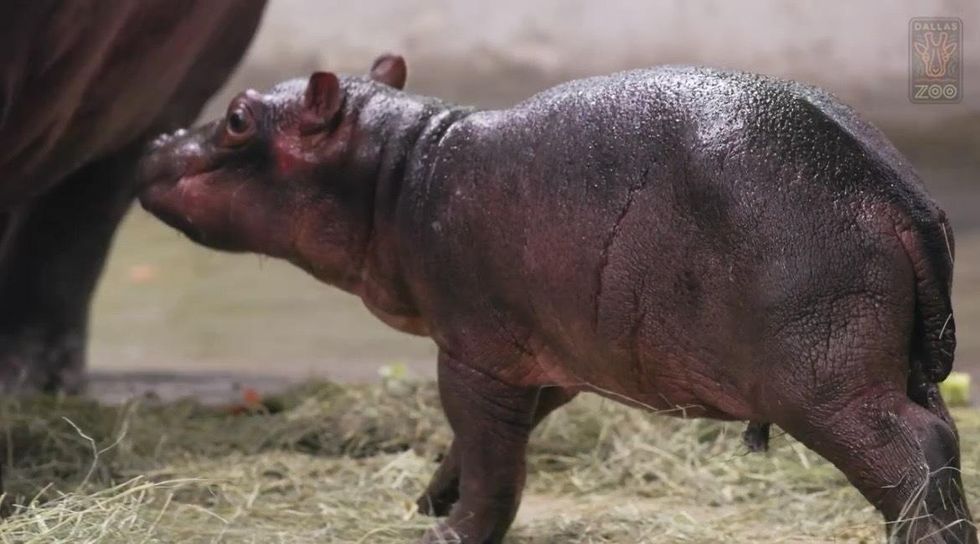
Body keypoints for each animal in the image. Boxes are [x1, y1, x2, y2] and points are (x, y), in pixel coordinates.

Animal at [138, 54, 972, 543]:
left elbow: (493, 459)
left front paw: (447, 532)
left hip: (825, 383)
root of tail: (900, 200)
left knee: (914, 455)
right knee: (943, 438)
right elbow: (478, 445)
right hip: (886, 365)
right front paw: (427, 502)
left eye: (238, 117)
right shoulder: (547, 359)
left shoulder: (473, 353)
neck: (400, 169)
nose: (155, 141)